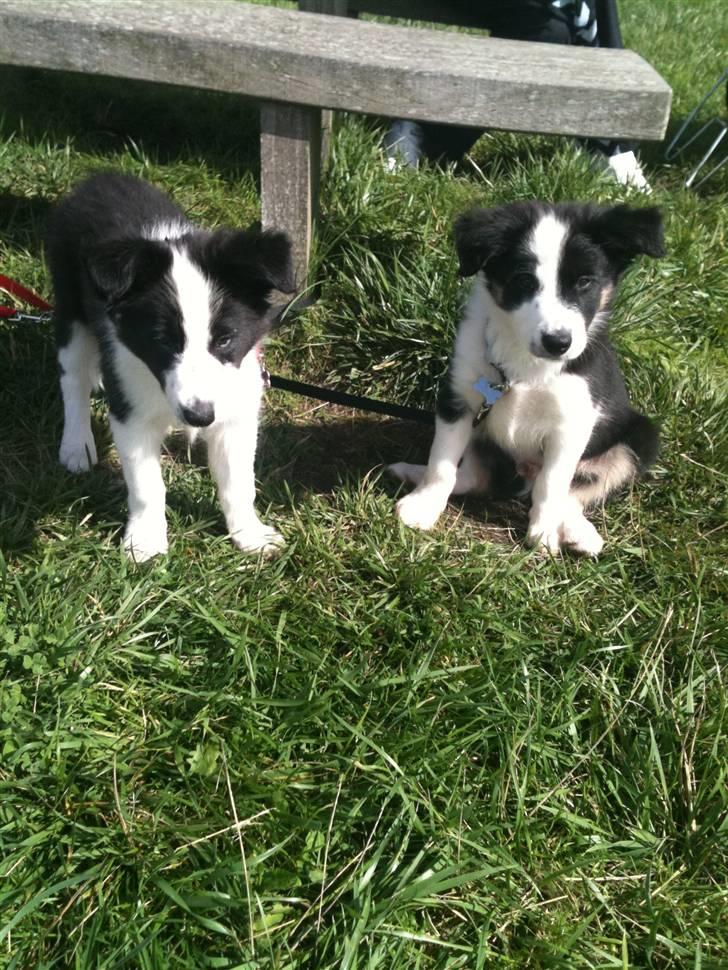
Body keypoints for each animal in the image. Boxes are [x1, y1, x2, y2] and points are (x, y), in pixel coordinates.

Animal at [48, 174, 294, 560]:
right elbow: (146, 486)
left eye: (225, 339)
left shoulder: (237, 410)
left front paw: (249, 535)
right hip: (70, 308)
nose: (200, 416)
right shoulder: (131, 412)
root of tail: (99, 178)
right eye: (162, 341)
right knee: (72, 379)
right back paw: (76, 445)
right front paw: (145, 542)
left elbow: (239, 482)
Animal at [392, 200, 664, 556]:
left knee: (572, 493)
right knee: (475, 478)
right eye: (523, 280)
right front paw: (423, 505)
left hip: (639, 438)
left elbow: (552, 484)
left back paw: (579, 532)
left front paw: (544, 534)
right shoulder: (460, 397)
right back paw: (411, 471)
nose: (557, 342)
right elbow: (442, 461)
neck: (526, 363)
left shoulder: (572, 422)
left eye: (584, 282)